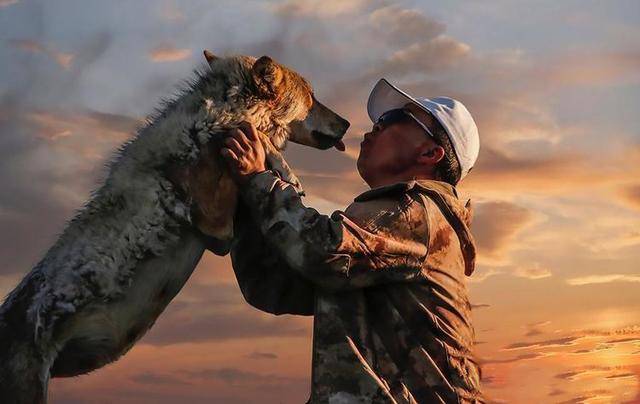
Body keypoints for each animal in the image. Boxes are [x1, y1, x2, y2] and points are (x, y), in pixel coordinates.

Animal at [0, 51, 350, 404]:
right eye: (312, 96)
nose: (348, 123)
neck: (210, 122)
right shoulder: (217, 226)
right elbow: (260, 140)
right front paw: (287, 171)